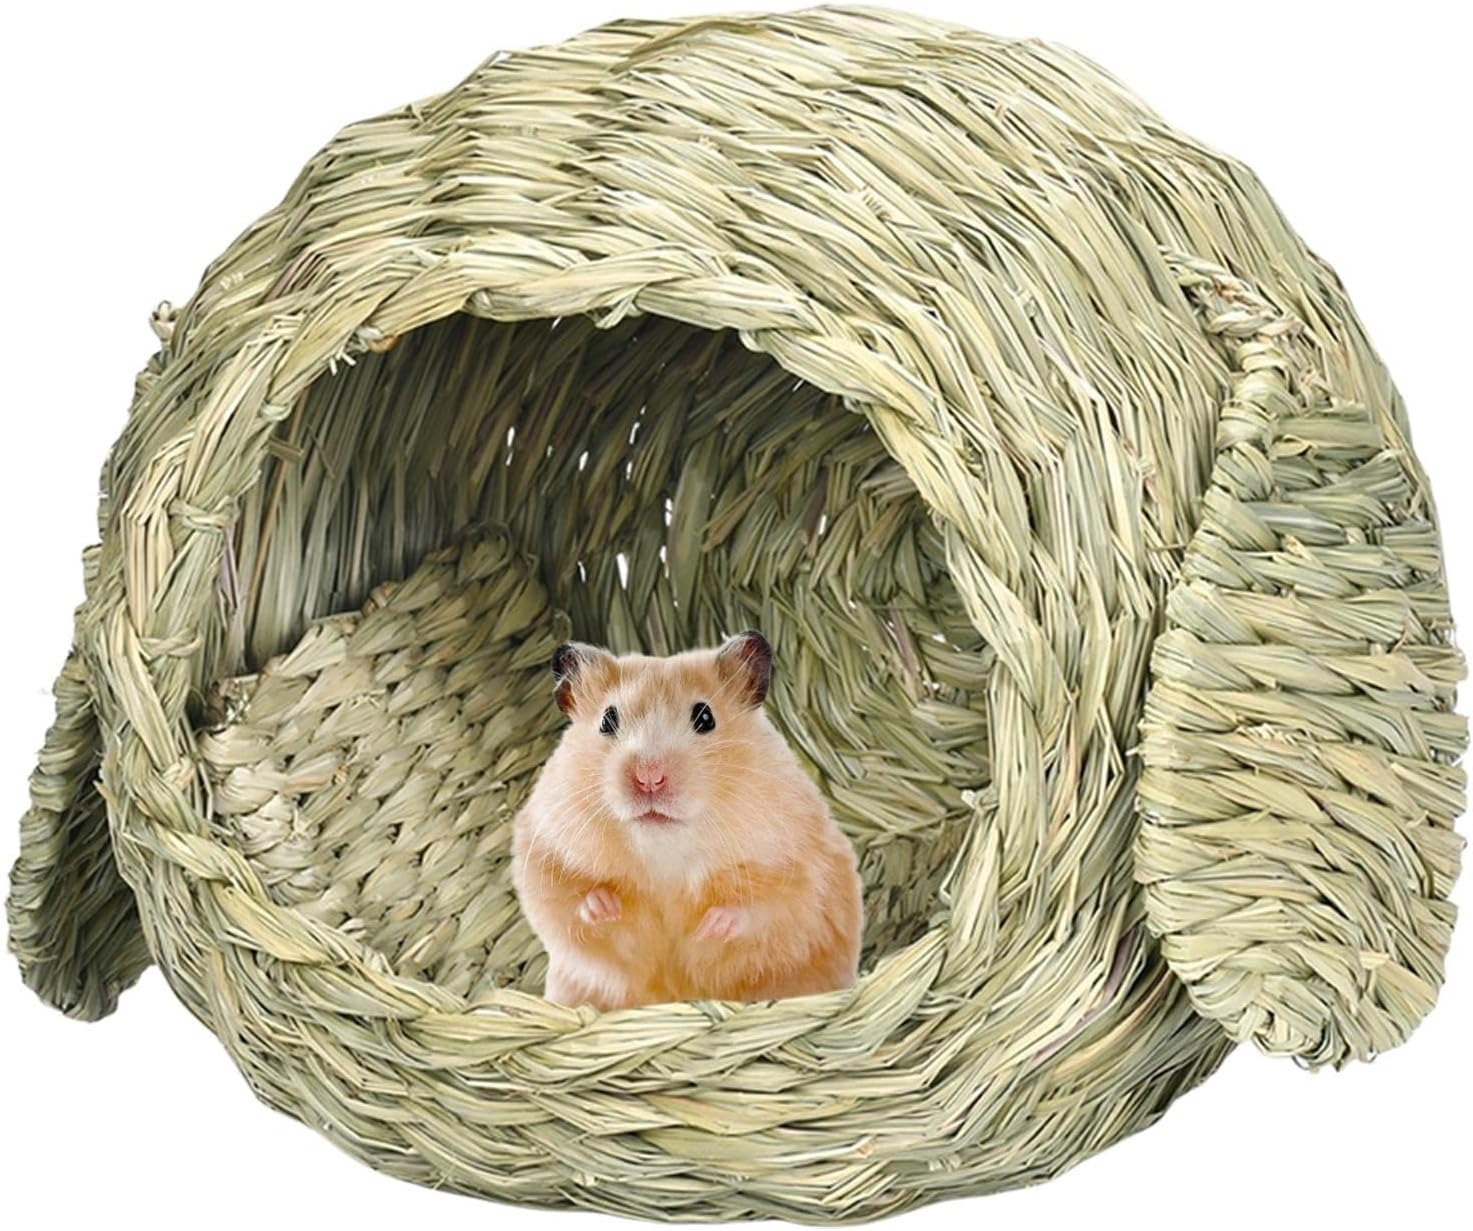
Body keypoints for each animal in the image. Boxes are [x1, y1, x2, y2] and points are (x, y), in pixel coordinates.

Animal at [511, 630, 863, 1011]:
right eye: (607, 720)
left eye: (706, 717)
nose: (649, 777)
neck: (665, 851)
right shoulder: (541, 849)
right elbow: (566, 900)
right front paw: (605, 906)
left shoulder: (800, 865)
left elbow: (767, 907)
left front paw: (710, 926)